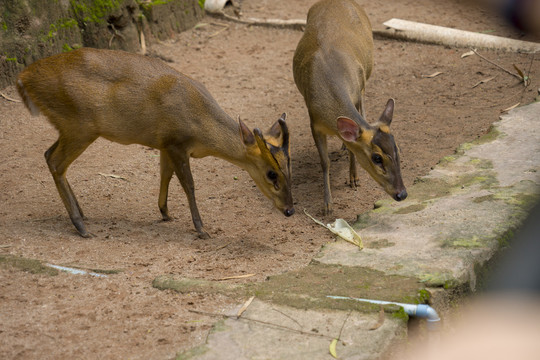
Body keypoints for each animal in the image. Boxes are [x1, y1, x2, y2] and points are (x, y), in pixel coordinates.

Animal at [15, 47, 296, 239]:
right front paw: (201, 229)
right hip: (80, 126)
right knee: (56, 162)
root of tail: (22, 79)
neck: (202, 126)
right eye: (271, 174)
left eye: (289, 167)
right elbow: (189, 185)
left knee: (48, 154)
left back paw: (81, 213)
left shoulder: (164, 144)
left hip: (69, 128)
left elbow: (165, 175)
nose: (290, 210)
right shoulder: (176, 142)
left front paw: (165, 212)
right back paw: (81, 226)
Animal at [294, 0, 408, 214]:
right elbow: (325, 162)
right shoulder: (313, 121)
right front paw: (327, 205)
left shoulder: (359, 90)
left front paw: (354, 178)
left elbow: (353, 145)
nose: (402, 194)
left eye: (398, 149)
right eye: (377, 158)